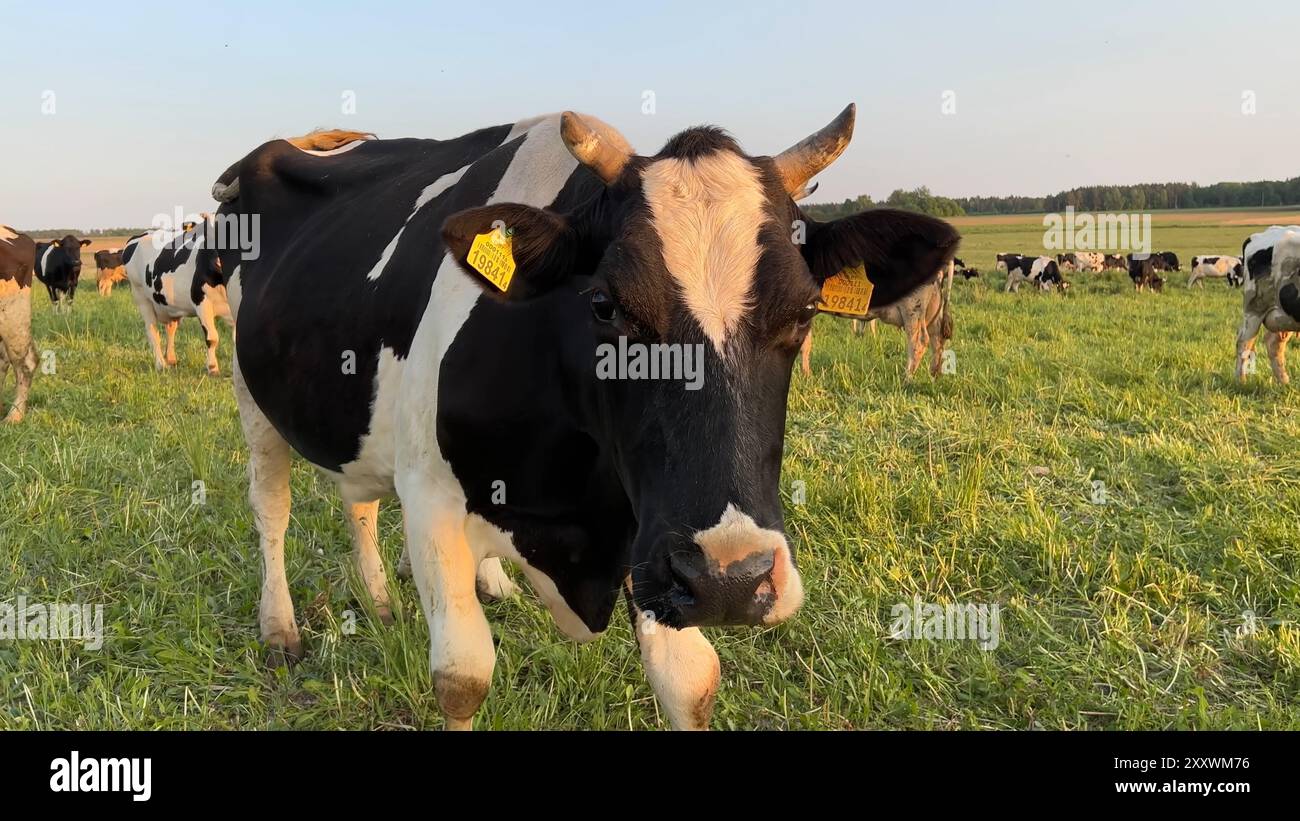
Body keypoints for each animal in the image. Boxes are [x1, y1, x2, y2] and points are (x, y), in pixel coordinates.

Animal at [122, 218, 233, 374]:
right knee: (152, 331)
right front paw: (212, 368)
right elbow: (212, 338)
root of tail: (139, 236)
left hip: (169, 306)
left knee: (170, 329)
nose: (218, 262)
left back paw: (171, 359)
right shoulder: (201, 302)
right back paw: (161, 364)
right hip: (141, 297)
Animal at [798, 246, 958, 379]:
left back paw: (906, 379)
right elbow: (806, 343)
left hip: (913, 309)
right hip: (932, 310)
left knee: (919, 342)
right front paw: (807, 376)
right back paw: (934, 375)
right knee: (937, 341)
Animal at [1235, 225, 1300, 384]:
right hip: (1254, 309)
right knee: (1243, 342)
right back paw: (1241, 380)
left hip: (1285, 316)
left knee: (1274, 344)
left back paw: (1284, 382)